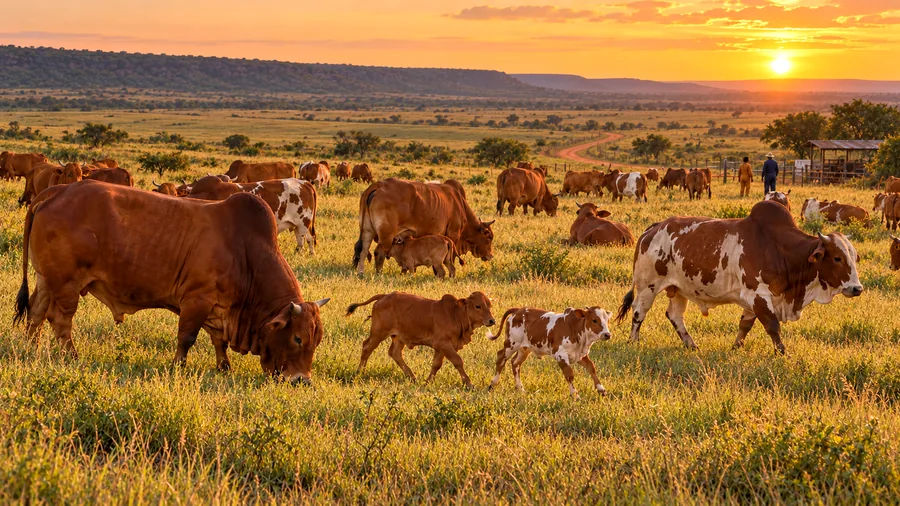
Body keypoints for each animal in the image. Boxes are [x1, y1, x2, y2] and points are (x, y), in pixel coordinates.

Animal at [187, 176, 318, 253]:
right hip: (297, 226)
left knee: (309, 239)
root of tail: (304, 183)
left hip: (304, 222)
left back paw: (311, 254)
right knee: (301, 241)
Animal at [346, 291, 495, 388]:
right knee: (367, 347)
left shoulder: (440, 347)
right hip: (378, 333)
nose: (492, 320)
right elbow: (458, 361)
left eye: (489, 305)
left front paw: (428, 381)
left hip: (398, 337)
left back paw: (412, 377)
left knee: (395, 353)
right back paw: (359, 372)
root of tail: (384, 296)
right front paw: (469, 383)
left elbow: (436, 365)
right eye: (478, 306)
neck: (455, 314)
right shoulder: (444, 344)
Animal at [353, 178, 494, 274]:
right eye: (489, 237)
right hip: (386, 235)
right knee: (379, 252)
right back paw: (379, 273)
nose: (491, 256)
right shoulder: (453, 235)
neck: (459, 204)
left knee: (363, 251)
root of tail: (379, 185)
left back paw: (361, 272)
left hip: (367, 231)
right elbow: (451, 258)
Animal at [615, 201, 863, 354]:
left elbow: (745, 325)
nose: (857, 288)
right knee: (638, 313)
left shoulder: (753, 300)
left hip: (678, 288)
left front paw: (736, 347)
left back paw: (691, 344)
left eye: (854, 257)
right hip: (648, 286)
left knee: (675, 315)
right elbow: (772, 326)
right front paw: (782, 352)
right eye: (838, 258)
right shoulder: (758, 294)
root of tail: (652, 229)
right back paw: (633, 341)